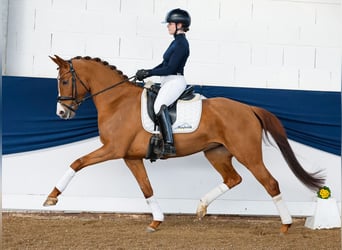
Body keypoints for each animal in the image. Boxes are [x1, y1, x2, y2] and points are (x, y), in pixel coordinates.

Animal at [44, 54, 324, 232]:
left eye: (65, 81)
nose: (61, 113)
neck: (117, 101)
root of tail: (249, 109)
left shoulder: (112, 149)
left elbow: (77, 162)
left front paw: (51, 198)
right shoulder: (130, 157)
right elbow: (146, 188)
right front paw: (156, 221)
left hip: (248, 154)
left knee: (270, 183)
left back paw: (286, 225)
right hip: (216, 153)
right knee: (233, 179)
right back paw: (200, 208)